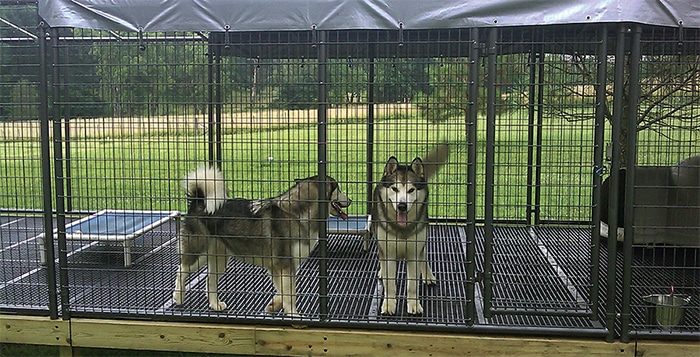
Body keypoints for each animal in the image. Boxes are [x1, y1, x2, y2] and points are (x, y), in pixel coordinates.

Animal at [172, 165, 350, 316]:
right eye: (338, 188)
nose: (350, 200)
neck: (297, 215)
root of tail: (199, 201)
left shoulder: (281, 267)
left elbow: (285, 292)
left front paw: (274, 305)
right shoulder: (284, 265)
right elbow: (290, 294)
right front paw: (293, 314)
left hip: (219, 258)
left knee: (210, 279)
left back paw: (215, 304)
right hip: (198, 254)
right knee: (181, 270)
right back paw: (178, 297)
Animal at [372, 143, 448, 312]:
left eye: (411, 190)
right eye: (394, 189)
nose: (402, 206)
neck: (402, 229)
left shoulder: (414, 252)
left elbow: (413, 283)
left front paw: (414, 304)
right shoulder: (388, 252)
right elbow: (389, 282)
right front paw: (389, 304)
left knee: (423, 255)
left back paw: (428, 275)